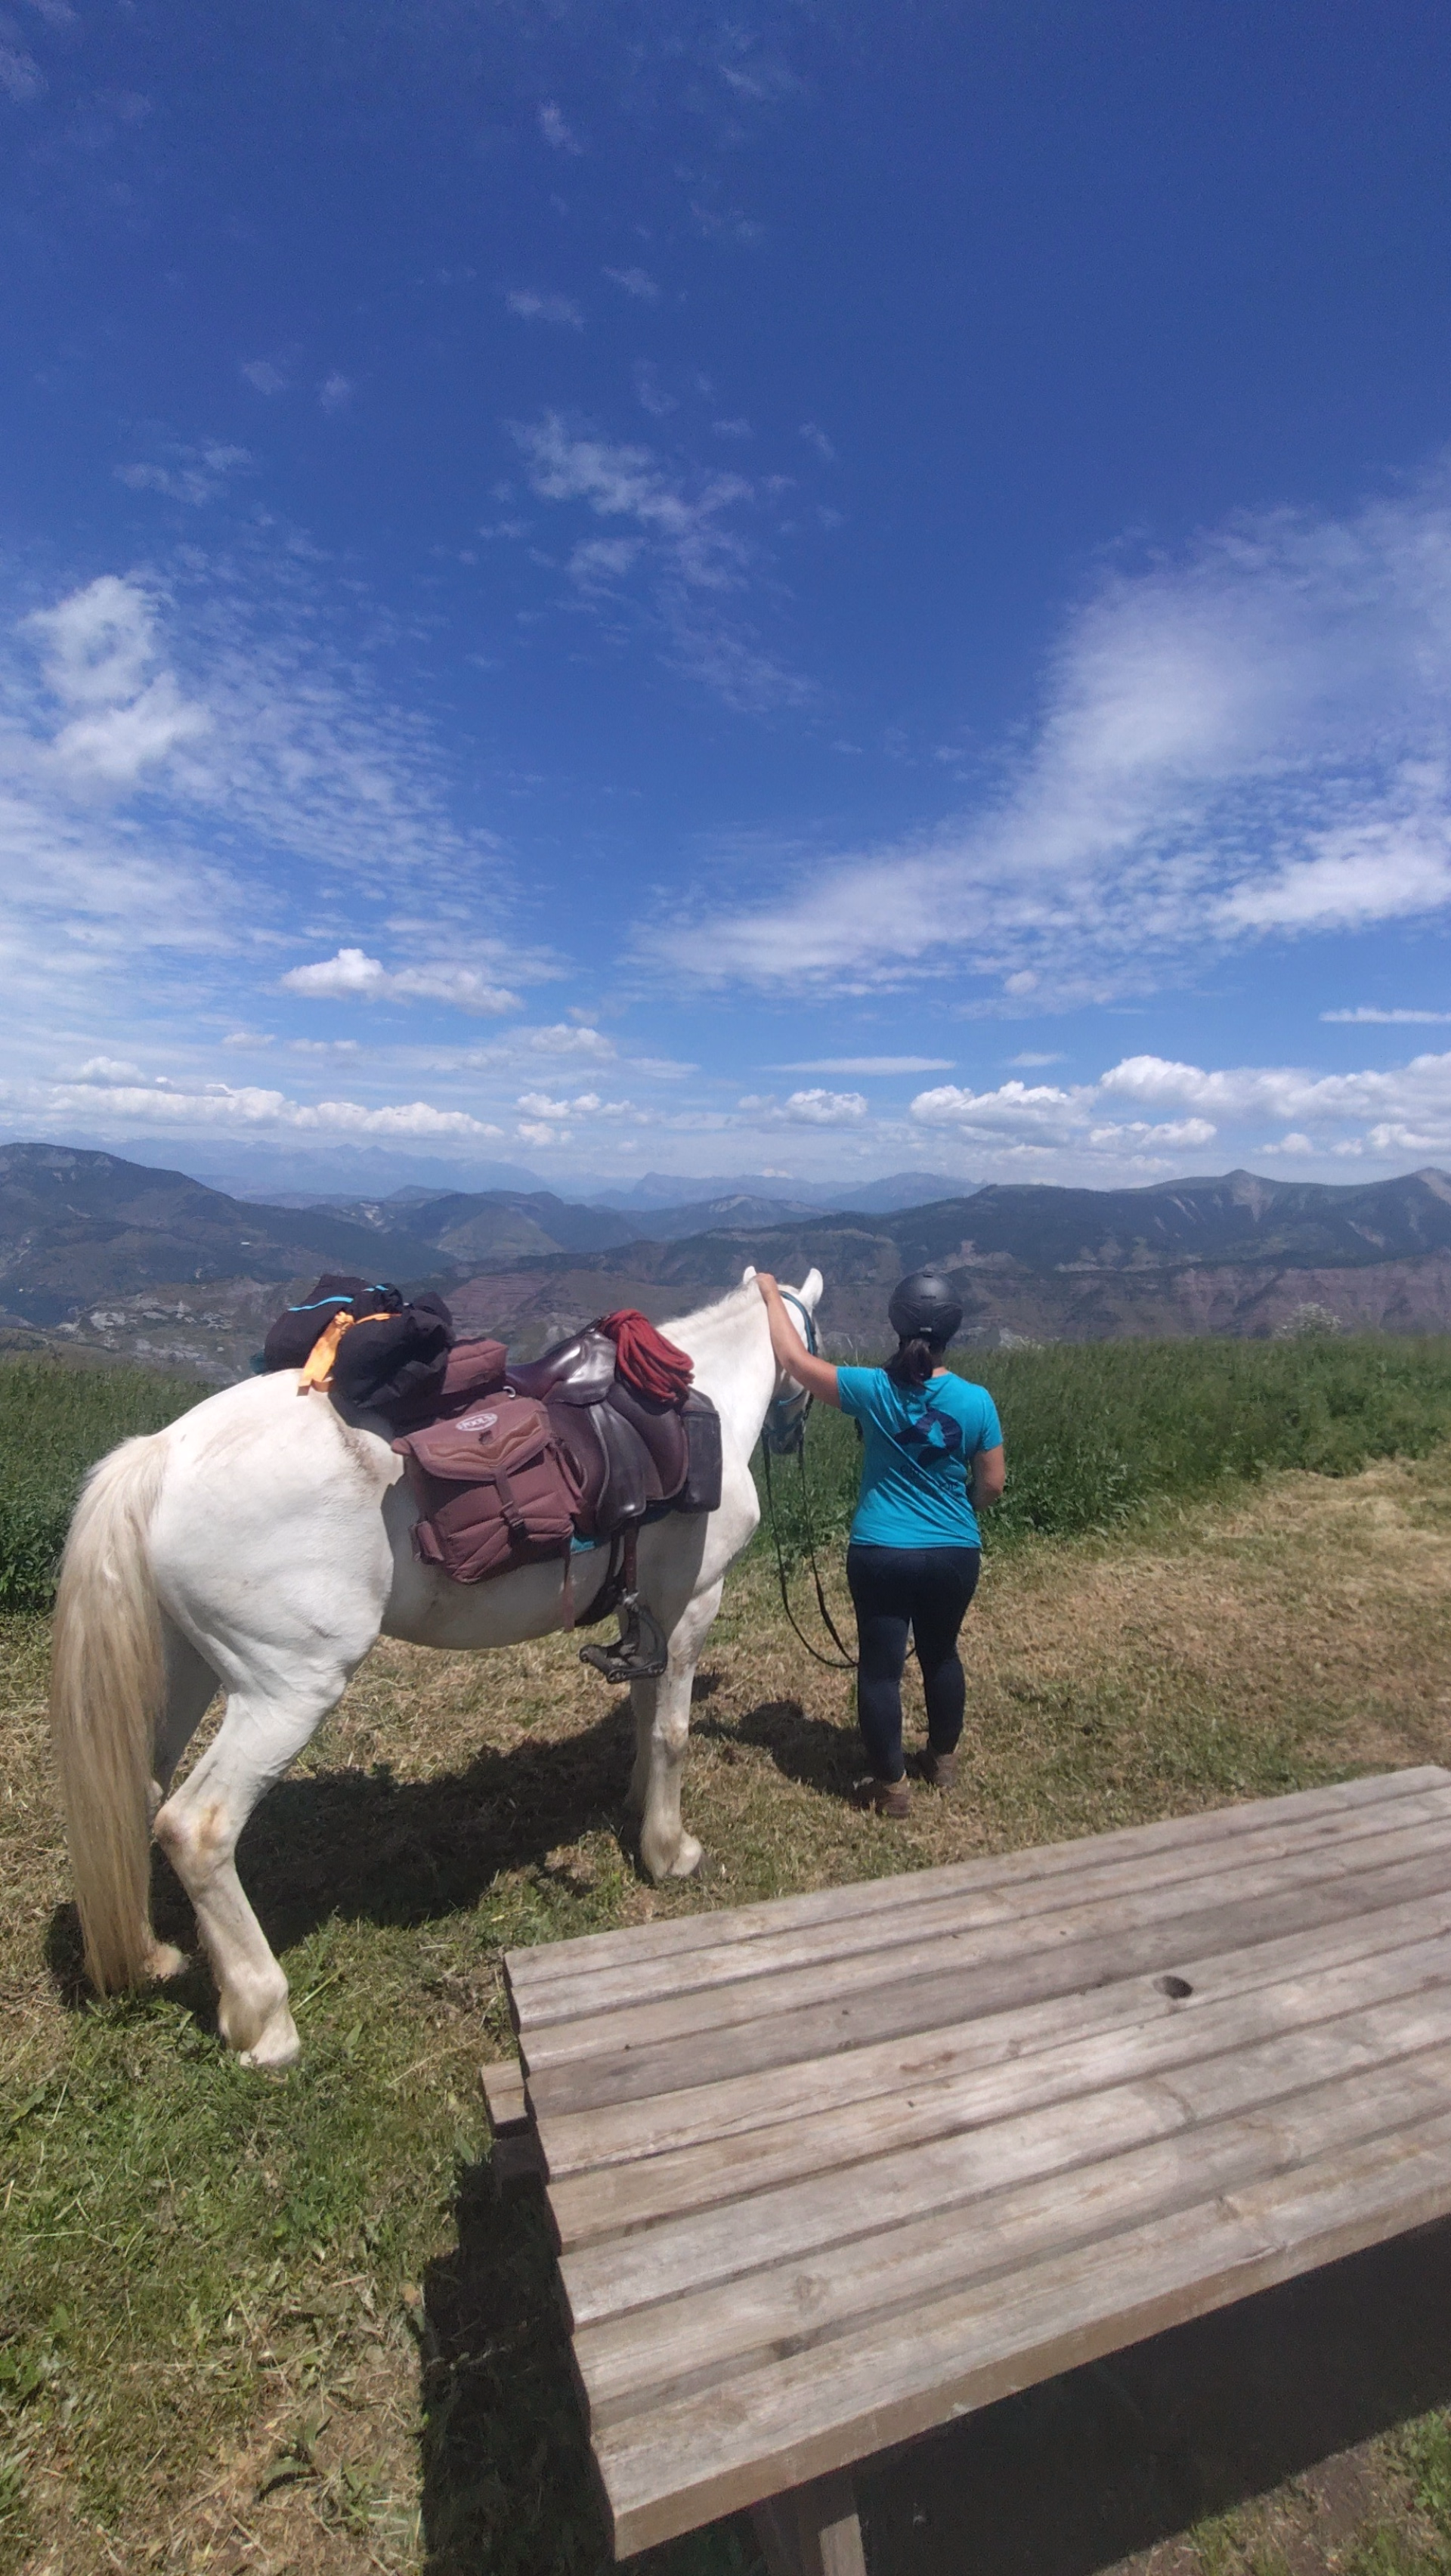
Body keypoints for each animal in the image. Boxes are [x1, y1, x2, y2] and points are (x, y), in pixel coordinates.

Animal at [49, 1265, 823, 2070]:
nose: (796, 1426)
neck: (706, 1402)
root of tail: (162, 1453)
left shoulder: (643, 1614)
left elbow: (644, 1715)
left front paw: (638, 1804)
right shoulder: (691, 1604)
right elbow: (672, 1732)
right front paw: (670, 1852)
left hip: (184, 1670)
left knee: (138, 1793)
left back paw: (152, 1956)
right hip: (287, 1691)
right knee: (196, 1829)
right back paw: (265, 2019)